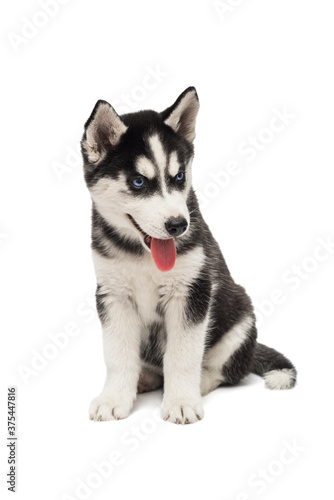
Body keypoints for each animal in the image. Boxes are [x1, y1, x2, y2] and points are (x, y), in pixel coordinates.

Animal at [81, 88, 298, 424]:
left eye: (179, 177)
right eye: (138, 182)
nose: (178, 226)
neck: (143, 255)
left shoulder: (192, 291)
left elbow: (181, 356)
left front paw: (181, 401)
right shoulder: (113, 294)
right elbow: (118, 355)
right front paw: (114, 398)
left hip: (240, 319)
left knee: (227, 369)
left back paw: (200, 381)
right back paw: (145, 378)